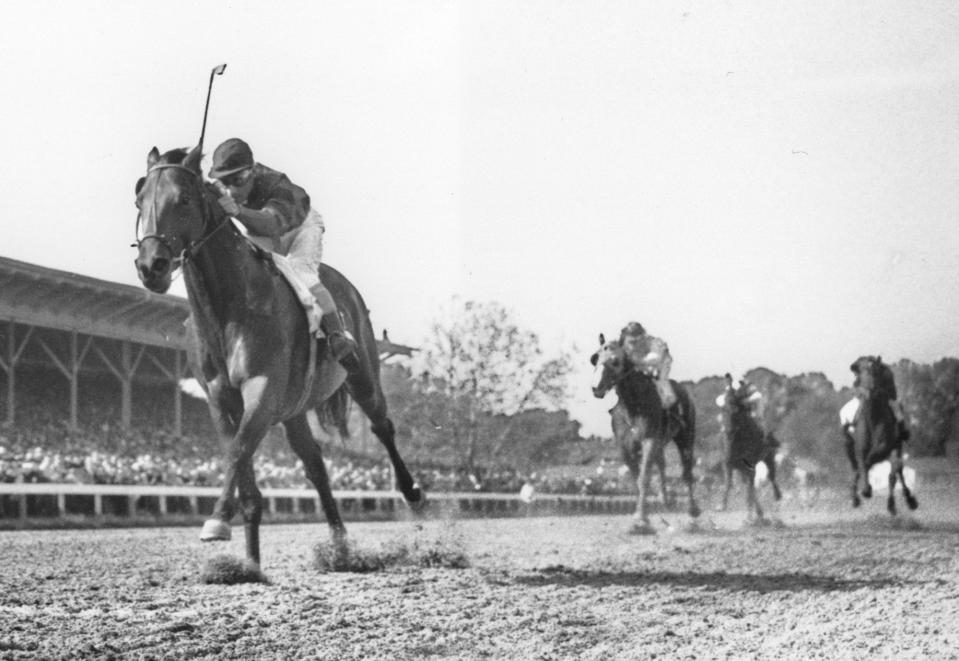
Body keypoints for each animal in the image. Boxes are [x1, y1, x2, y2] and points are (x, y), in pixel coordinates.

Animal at [132, 147, 424, 564]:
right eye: (139, 199)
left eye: (184, 199)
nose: (150, 266)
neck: (228, 309)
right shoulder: (220, 398)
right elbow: (240, 462)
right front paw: (248, 560)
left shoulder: (263, 389)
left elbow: (239, 450)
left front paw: (217, 520)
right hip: (295, 409)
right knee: (316, 464)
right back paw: (339, 543)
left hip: (363, 374)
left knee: (382, 426)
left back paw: (412, 493)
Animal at [588, 336, 700, 532]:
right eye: (595, 358)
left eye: (615, 361)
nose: (596, 388)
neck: (633, 405)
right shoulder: (624, 447)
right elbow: (637, 479)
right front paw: (643, 516)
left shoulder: (649, 440)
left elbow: (643, 478)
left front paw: (640, 520)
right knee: (662, 464)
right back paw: (664, 499)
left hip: (685, 437)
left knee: (686, 471)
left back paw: (692, 512)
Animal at [844, 354, 920, 512]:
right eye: (860, 372)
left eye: (875, 371)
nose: (869, 390)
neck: (873, 418)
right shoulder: (860, 449)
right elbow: (861, 464)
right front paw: (860, 493)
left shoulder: (884, 448)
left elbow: (872, 464)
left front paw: (867, 489)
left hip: (896, 447)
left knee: (896, 473)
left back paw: (902, 501)